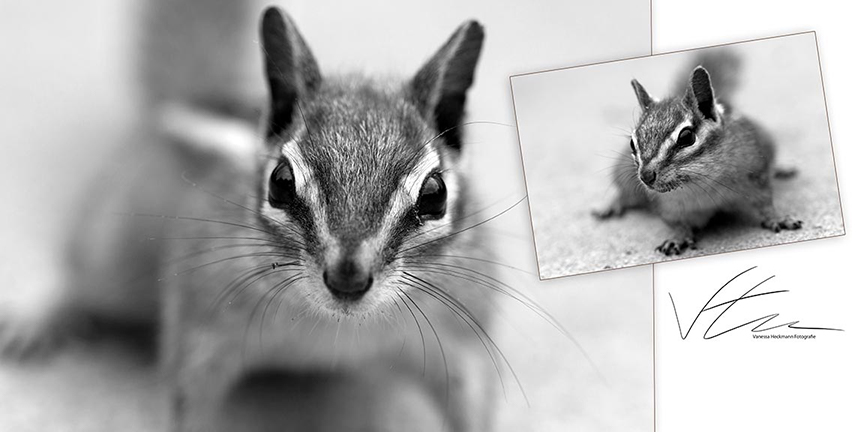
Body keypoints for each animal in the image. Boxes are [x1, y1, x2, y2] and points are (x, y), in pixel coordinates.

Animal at [1, 3, 507, 431]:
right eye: (280, 182)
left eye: (436, 194)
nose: (348, 278)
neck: (338, 327)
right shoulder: (199, 326)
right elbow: (187, 398)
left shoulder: (461, 344)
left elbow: (472, 401)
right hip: (114, 251)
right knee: (82, 280)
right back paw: (38, 319)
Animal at [592, 50, 802, 255]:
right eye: (631, 143)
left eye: (686, 137)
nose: (645, 176)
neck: (702, 182)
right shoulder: (669, 207)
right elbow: (676, 224)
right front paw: (678, 238)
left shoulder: (755, 173)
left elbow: (766, 203)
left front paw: (778, 218)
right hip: (624, 172)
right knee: (624, 191)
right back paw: (610, 205)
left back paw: (781, 168)